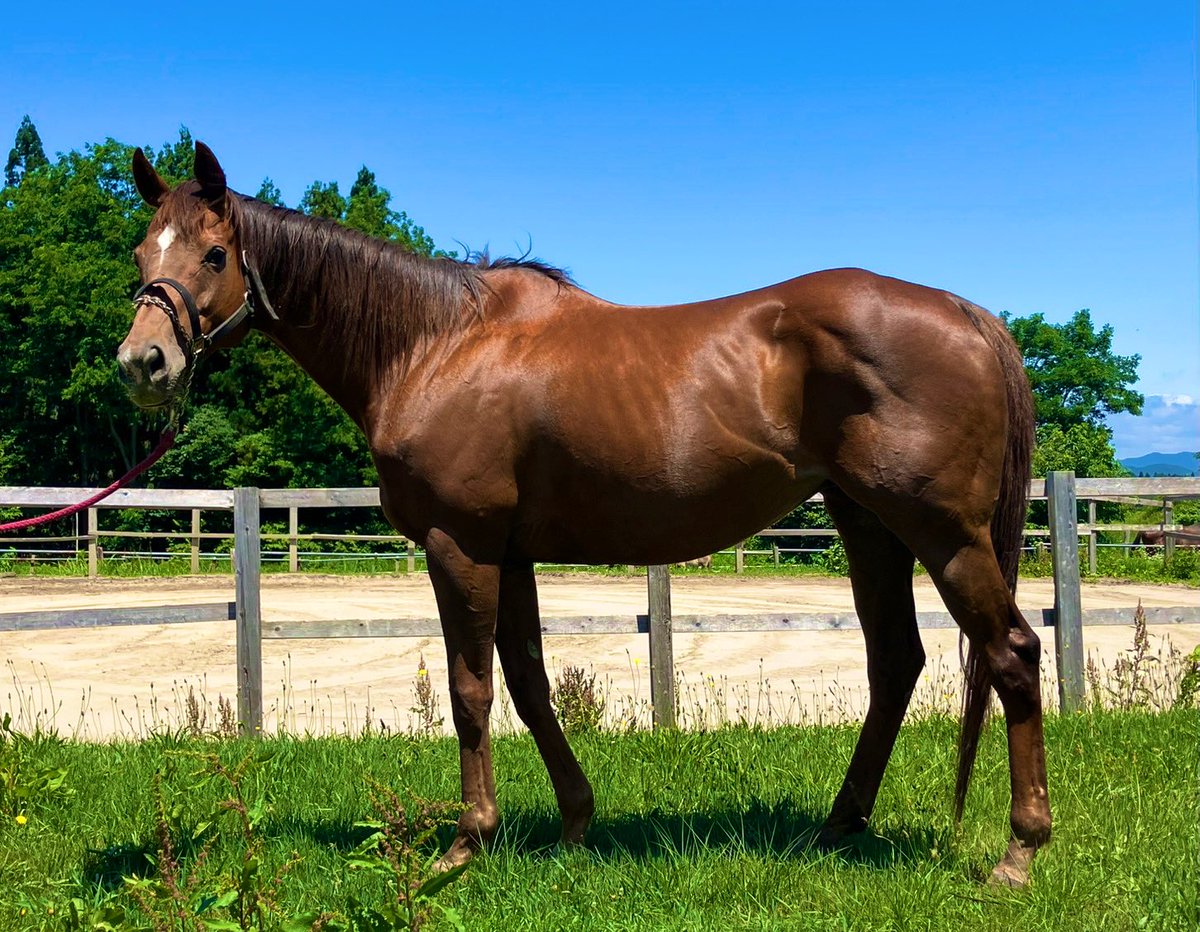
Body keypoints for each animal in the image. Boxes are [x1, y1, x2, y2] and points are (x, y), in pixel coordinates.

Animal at [117, 142, 1048, 887]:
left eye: (214, 252)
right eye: (139, 250)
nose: (143, 362)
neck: (435, 344)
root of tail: (969, 315)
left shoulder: (462, 545)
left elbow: (471, 690)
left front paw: (468, 842)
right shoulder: (511, 551)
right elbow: (529, 683)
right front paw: (574, 822)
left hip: (944, 535)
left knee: (1011, 653)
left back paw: (1019, 851)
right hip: (869, 527)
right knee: (896, 663)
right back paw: (838, 825)